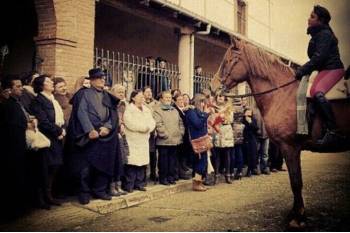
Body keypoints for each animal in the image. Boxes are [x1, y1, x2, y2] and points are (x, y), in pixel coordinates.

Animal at [211, 37, 350, 228]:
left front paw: (297, 218)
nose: (212, 87)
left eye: (228, 61)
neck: (282, 94)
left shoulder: (289, 147)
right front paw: (296, 214)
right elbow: (295, 181)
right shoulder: (287, 149)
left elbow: (296, 182)